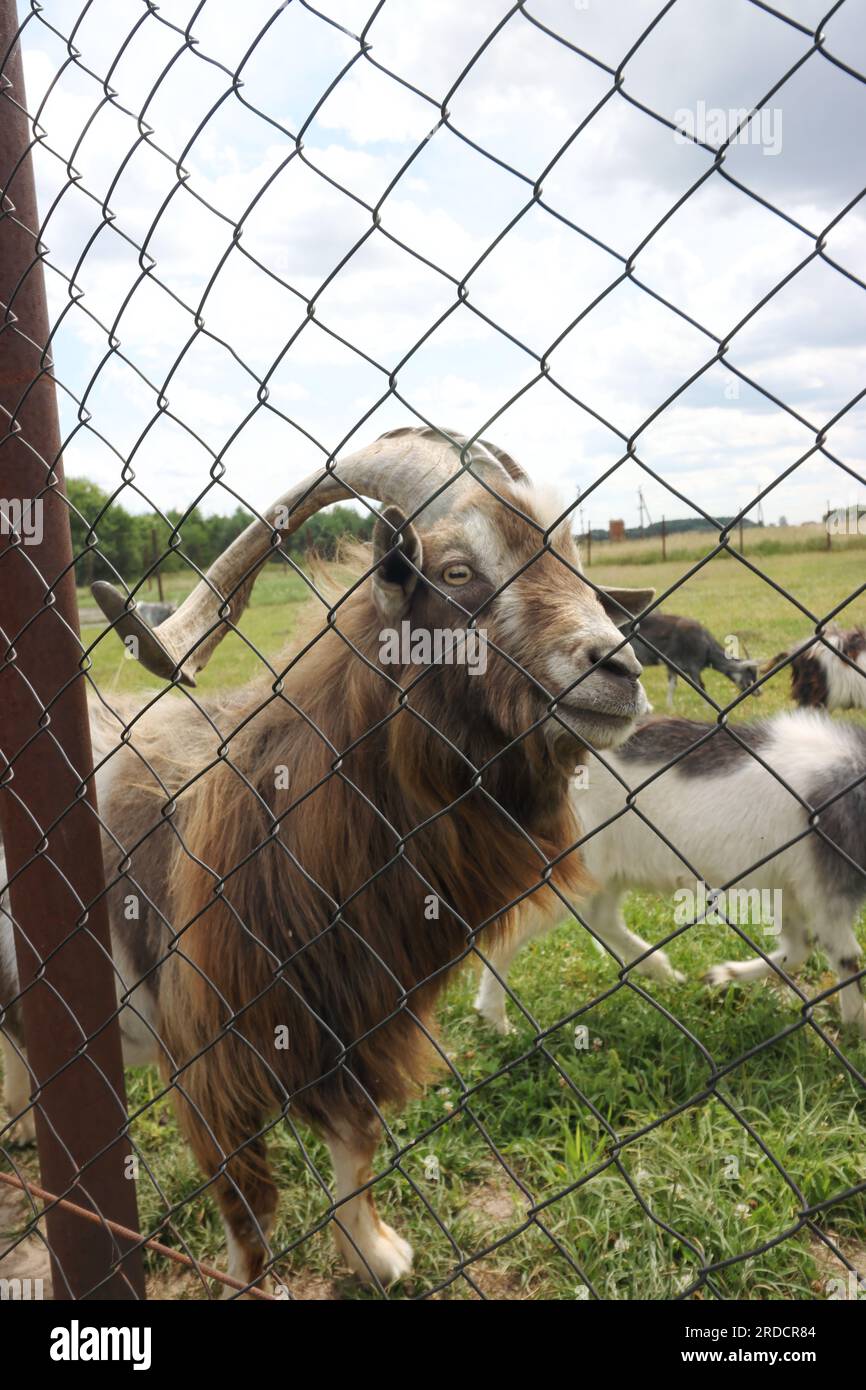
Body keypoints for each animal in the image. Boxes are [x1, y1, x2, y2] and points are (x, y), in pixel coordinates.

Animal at [0, 427, 654, 1293]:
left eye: (575, 563)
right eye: (457, 572)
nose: (620, 671)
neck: (266, 814)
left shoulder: (352, 1022)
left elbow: (357, 1149)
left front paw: (376, 1257)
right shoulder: (206, 1064)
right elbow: (249, 1212)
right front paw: (253, 1283)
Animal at [475, 710, 866, 1038]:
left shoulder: (789, 886)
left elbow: (801, 948)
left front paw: (722, 976)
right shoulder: (825, 891)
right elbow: (846, 957)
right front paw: (854, 1027)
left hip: (607, 870)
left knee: (601, 918)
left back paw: (661, 970)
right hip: (572, 866)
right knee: (508, 931)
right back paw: (496, 1019)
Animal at [624, 611, 759, 709]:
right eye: (749, 673)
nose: (759, 692)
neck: (704, 642)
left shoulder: (675, 667)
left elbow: (673, 685)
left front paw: (669, 706)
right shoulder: (691, 667)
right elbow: (700, 686)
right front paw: (706, 708)